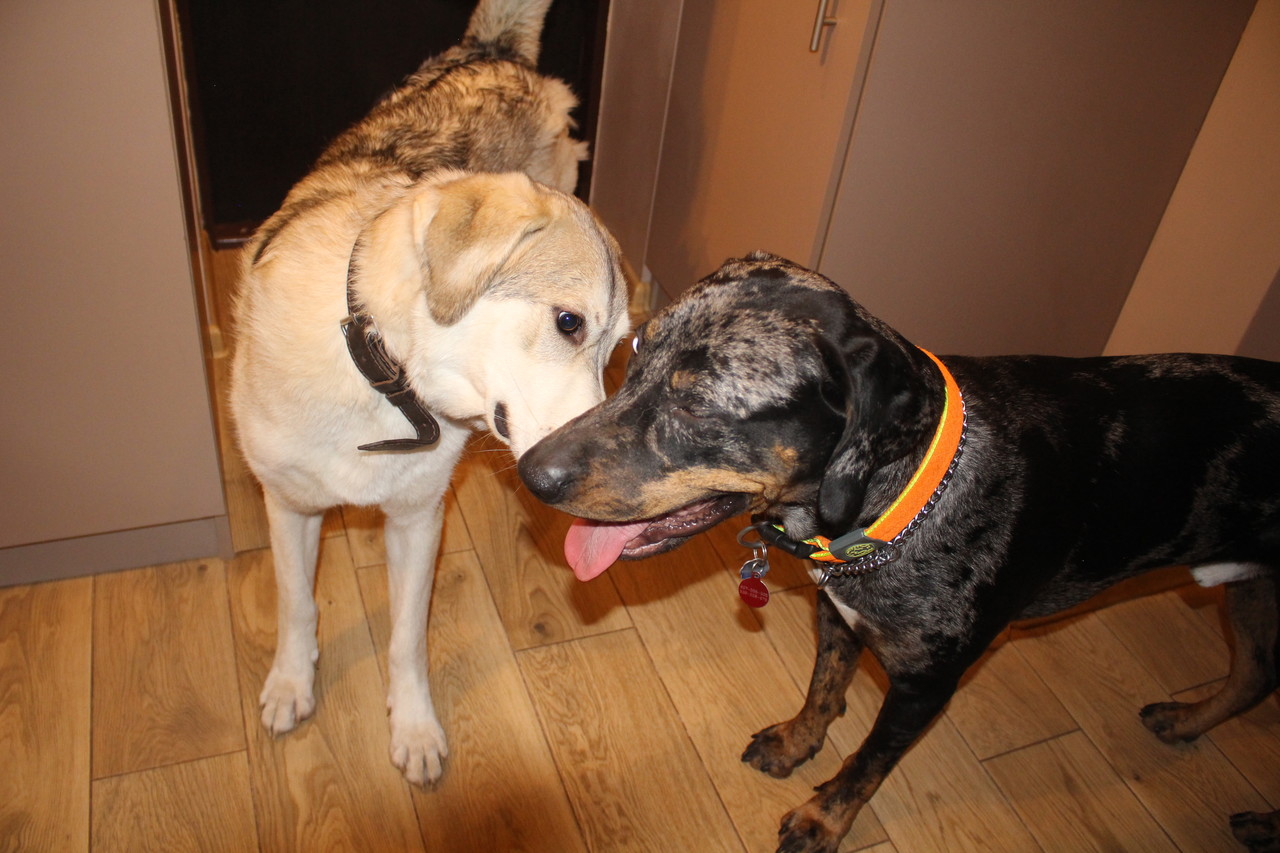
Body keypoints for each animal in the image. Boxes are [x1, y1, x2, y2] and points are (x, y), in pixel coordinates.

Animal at [230, 0, 629, 786]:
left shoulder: (417, 522)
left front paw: (412, 725)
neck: (378, 373)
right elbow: (295, 603)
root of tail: (491, 50)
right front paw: (292, 681)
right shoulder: (287, 504)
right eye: (569, 323)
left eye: (619, 350)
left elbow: (407, 637)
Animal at [518, 252, 1280, 852]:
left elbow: (867, 762)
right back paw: (1187, 720)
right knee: (1251, 678)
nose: (531, 472)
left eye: (697, 405)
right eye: (634, 354)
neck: (898, 499)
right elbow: (823, 692)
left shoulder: (924, 684)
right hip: (1251, 596)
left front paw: (822, 820)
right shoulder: (835, 616)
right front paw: (796, 743)